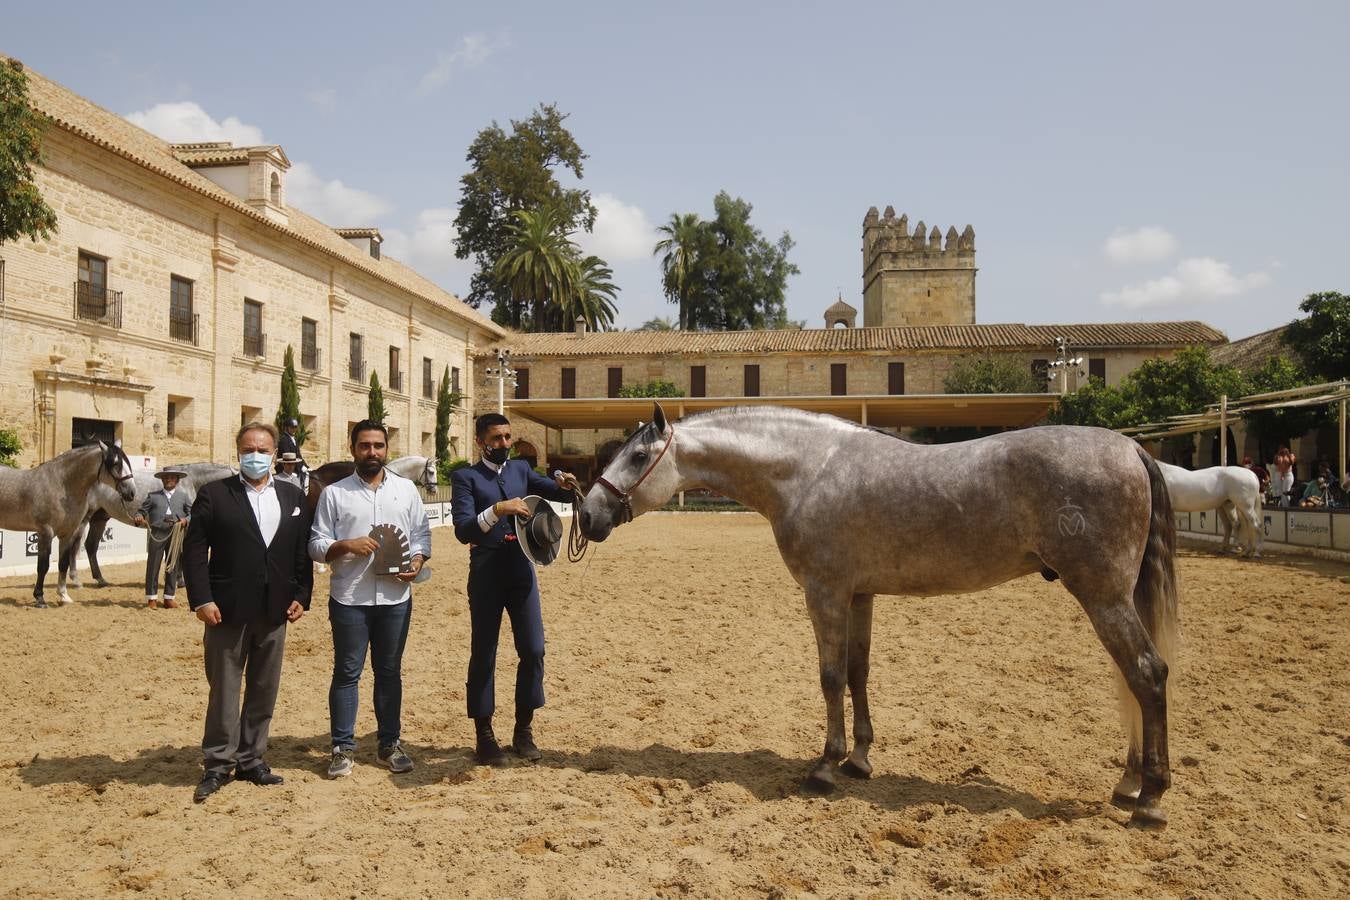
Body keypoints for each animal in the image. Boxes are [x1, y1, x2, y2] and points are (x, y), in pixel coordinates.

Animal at [0, 442, 135, 604]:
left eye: (127, 462)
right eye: (115, 463)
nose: (132, 492)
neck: (61, 485)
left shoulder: (67, 534)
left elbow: (63, 563)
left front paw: (64, 595)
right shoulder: (45, 532)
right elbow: (43, 566)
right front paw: (40, 598)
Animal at [73, 461, 234, 588]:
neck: (191, 483)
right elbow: (180, 554)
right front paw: (180, 581)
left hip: (99, 518)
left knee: (91, 545)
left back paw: (101, 580)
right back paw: (75, 580)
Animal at [583, 407, 1182, 831]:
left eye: (638, 456)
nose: (588, 515)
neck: (808, 470)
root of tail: (1130, 447)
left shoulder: (825, 593)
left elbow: (829, 677)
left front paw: (825, 767)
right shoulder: (860, 595)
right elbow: (857, 674)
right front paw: (860, 760)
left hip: (1102, 596)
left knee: (1148, 674)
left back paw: (1150, 799)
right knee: (1134, 680)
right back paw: (1129, 784)